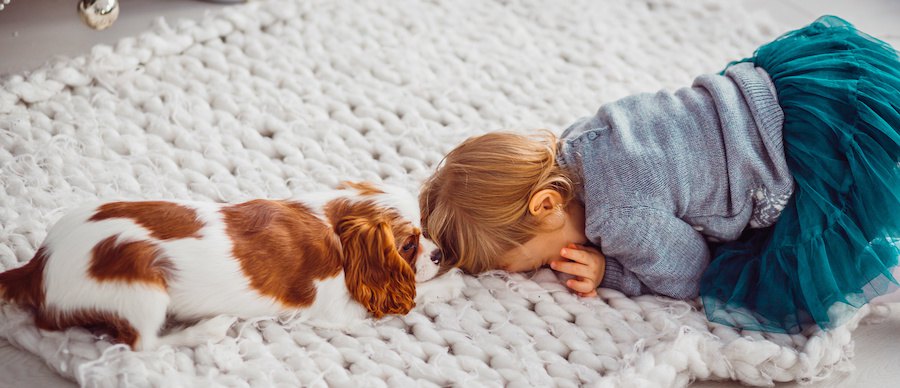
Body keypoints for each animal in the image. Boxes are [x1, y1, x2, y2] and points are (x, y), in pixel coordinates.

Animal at [0, 183, 458, 352]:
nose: (438, 254)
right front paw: (452, 284)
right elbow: (413, 294)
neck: (333, 223)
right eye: (409, 245)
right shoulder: (339, 310)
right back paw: (209, 328)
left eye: (424, 232)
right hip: (141, 281)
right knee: (142, 345)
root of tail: (37, 266)